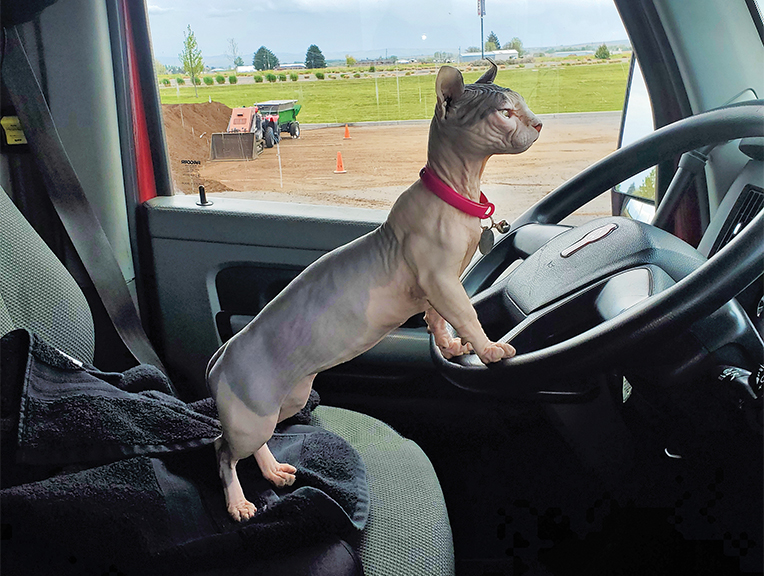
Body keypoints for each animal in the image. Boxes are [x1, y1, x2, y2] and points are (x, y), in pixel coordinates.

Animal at [207, 60, 544, 520]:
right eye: (506, 114)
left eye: (522, 105)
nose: (539, 123)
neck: (457, 192)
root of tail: (222, 357)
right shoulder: (440, 278)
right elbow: (466, 315)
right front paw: (489, 349)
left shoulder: (435, 287)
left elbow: (438, 320)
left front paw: (450, 347)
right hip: (249, 415)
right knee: (222, 449)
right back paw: (238, 502)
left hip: (285, 403)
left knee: (253, 442)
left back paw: (273, 471)